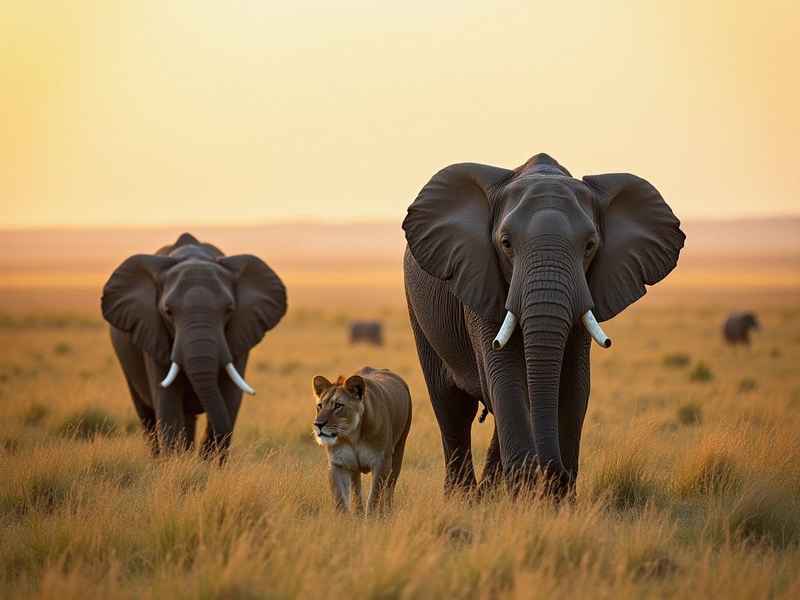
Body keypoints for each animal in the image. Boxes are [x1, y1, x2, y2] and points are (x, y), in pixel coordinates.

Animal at [101, 233, 287, 461]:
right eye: (168, 312)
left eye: (229, 310)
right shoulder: (153, 333)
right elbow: (167, 404)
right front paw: (175, 465)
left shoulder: (239, 335)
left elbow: (230, 399)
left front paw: (206, 467)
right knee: (148, 417)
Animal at [402, 153, 685, 498]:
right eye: (506, 244)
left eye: (590, 246)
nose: (555, 471)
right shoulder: (481, 280)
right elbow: (504, 376)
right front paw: (526, 494)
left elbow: (575, 382)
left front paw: (556, 500)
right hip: (419, 311)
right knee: (452, 406)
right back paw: (465, 499)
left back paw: (488, 495)